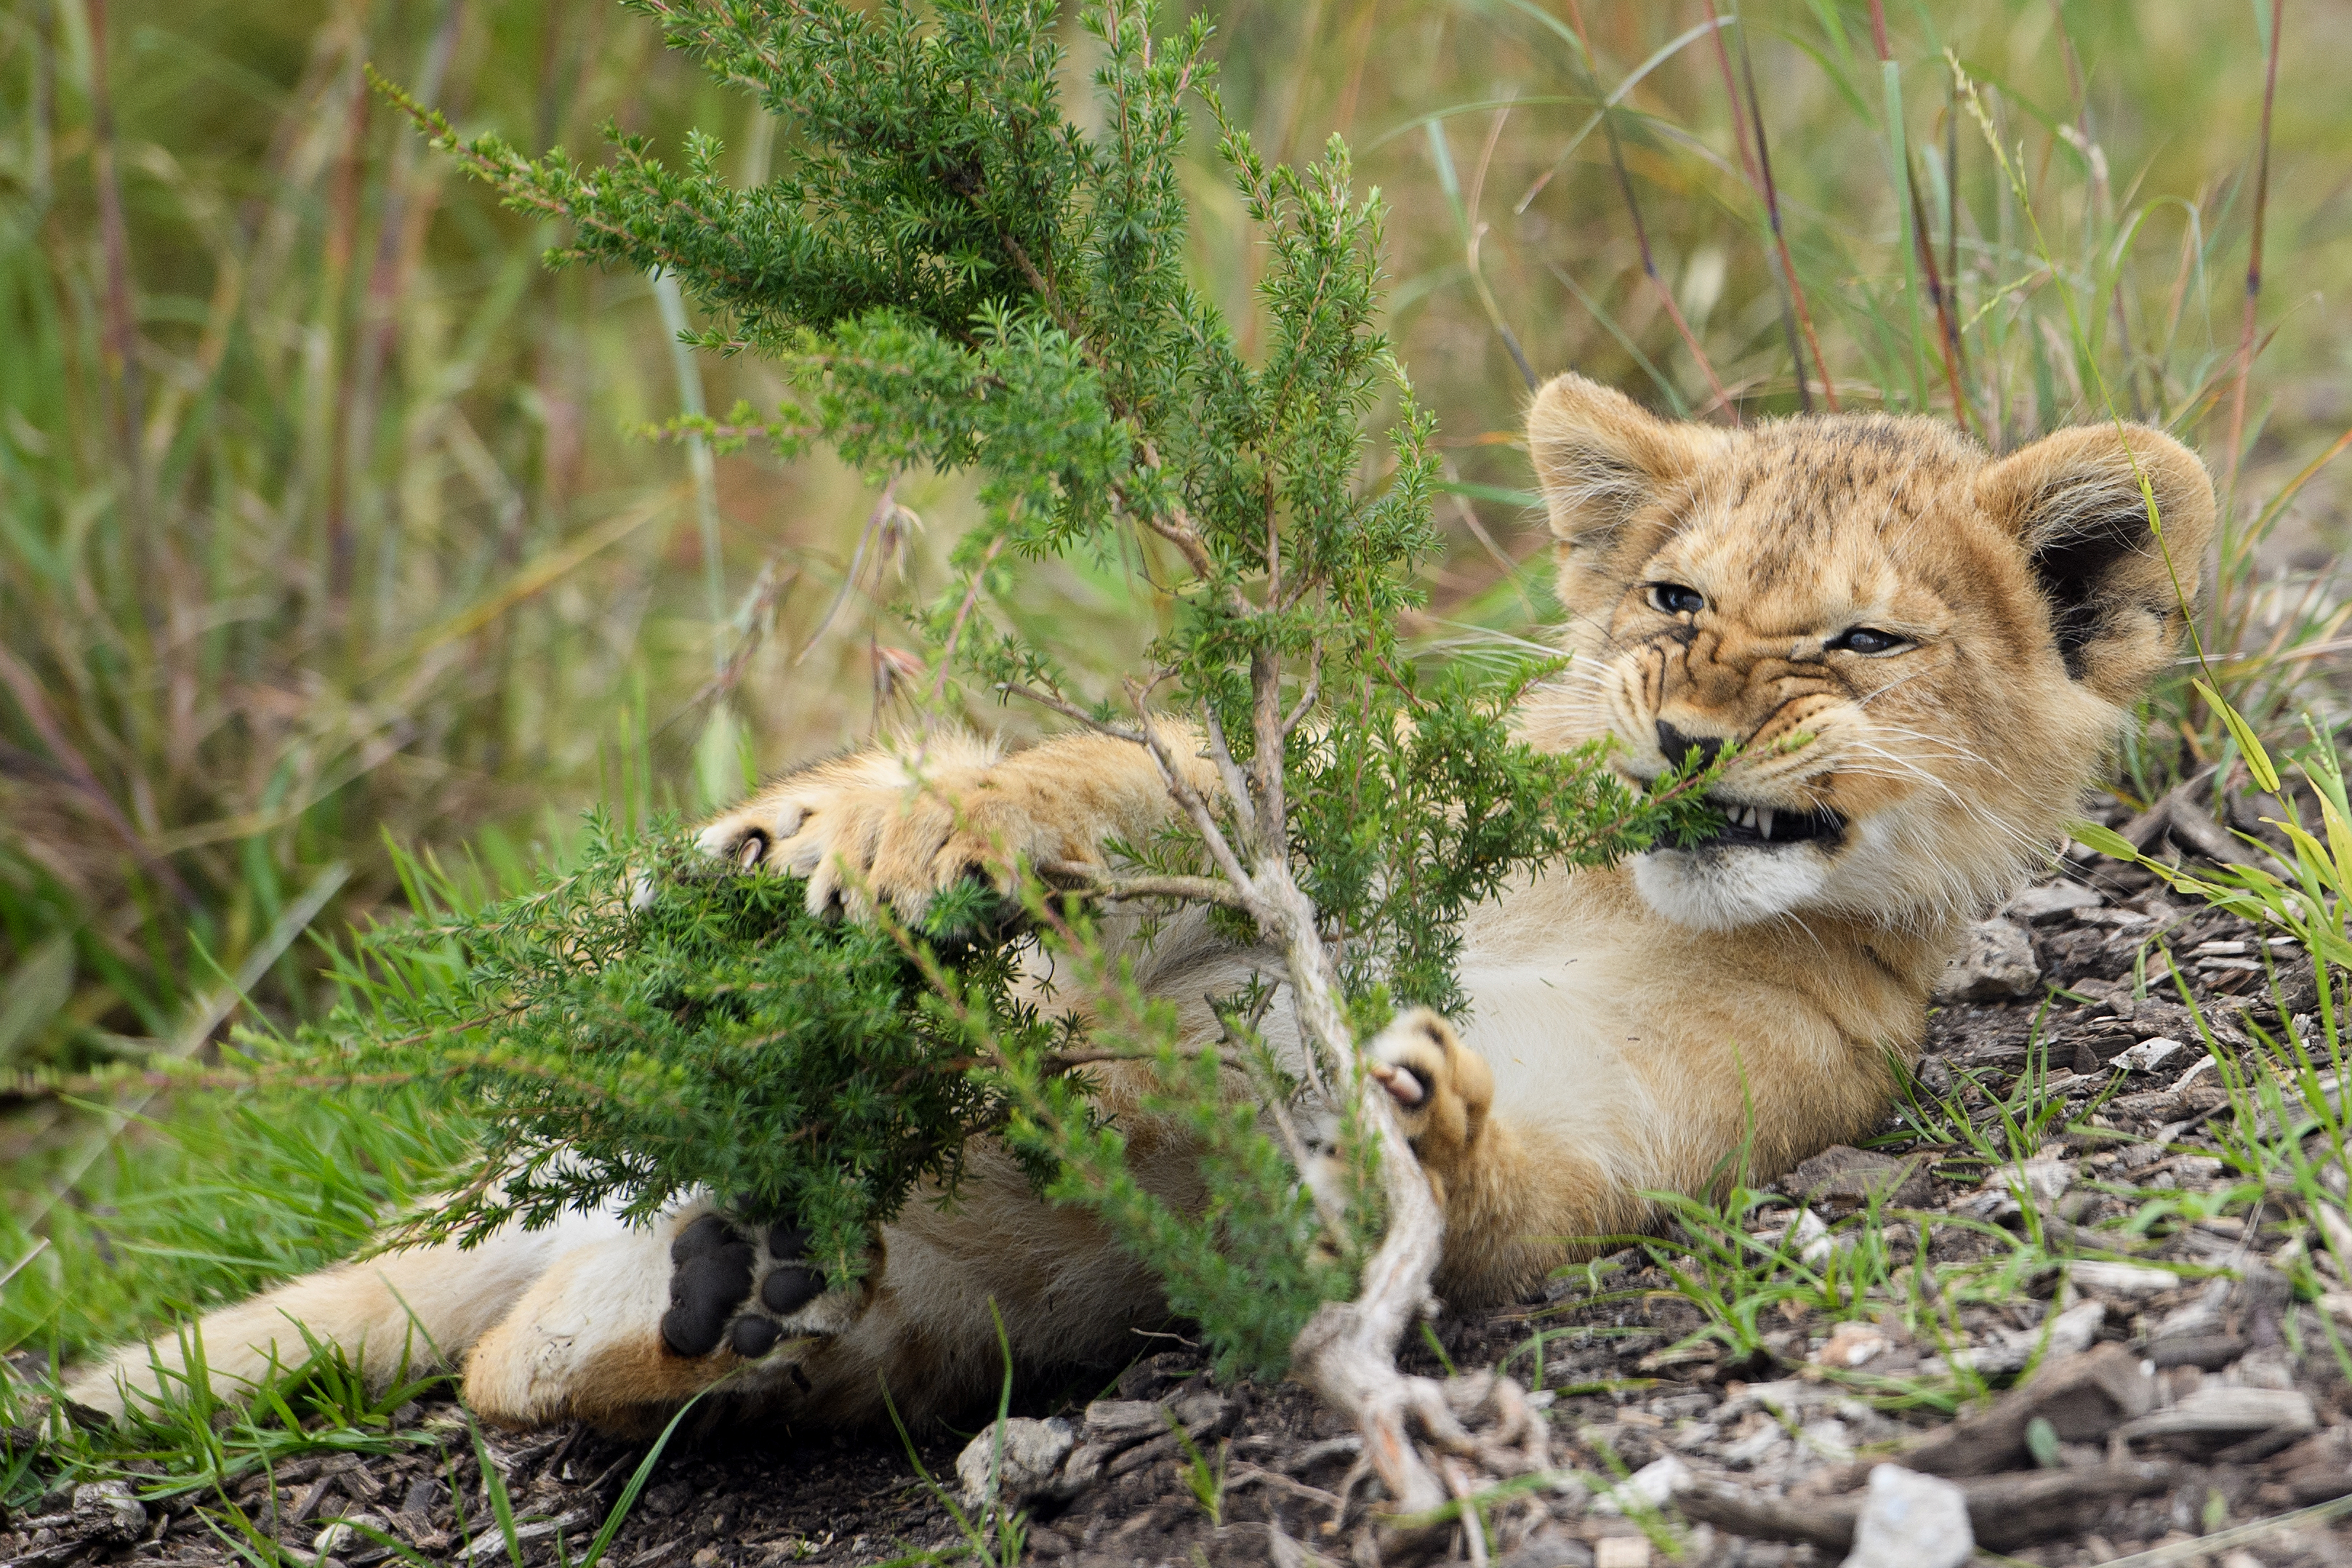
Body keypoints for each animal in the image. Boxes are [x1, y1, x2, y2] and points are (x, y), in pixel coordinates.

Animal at [70, 373, 2214, 1435]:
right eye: (1675, 599)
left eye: (1856, 639)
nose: (1680, 738)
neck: (1604, 879)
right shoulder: (1325, 764)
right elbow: (1150, 765)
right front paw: (934, 847)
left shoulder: (1686, 1103)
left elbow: (1519, 1193)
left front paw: (1409, 1115)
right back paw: (751, 879)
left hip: (870, 1300)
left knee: (517, 1370)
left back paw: (746, 1299)